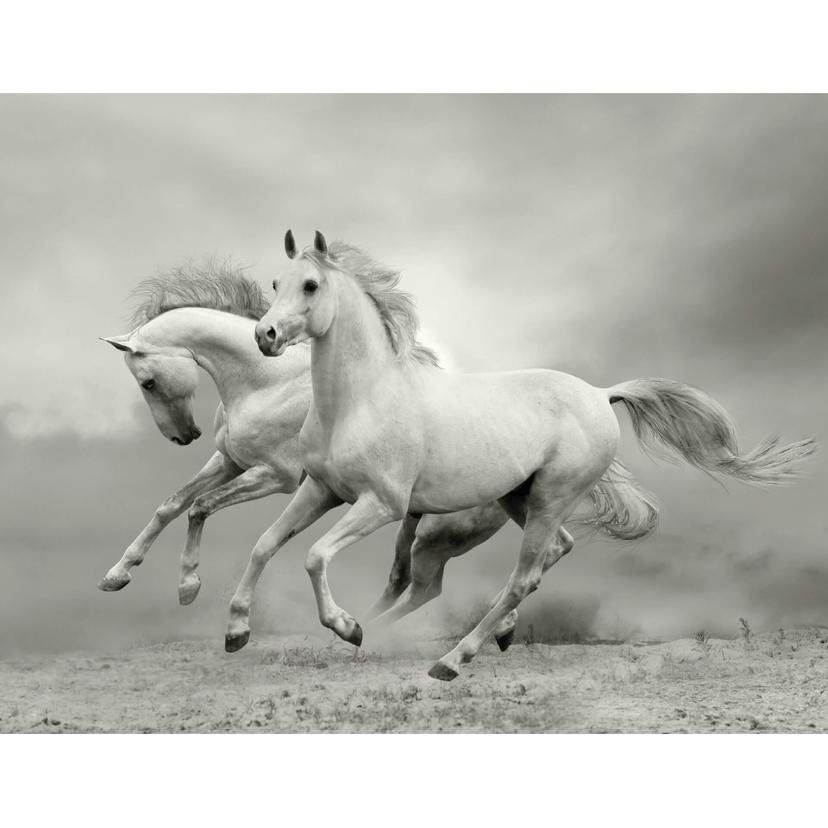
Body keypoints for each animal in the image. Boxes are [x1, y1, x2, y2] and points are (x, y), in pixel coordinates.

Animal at [234, 229, 817, 681]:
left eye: (311, 285)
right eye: (275, 284)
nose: (265, 335)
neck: (361, 399)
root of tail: (601, 394)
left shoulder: (381, 504)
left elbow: (314, 556)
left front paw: (347, 627)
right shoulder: (321, 490)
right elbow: (264, 546)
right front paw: (236, 630)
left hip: (550, 498)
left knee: (521, 577)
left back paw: (452, 660)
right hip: (521, 498)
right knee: (549, 555)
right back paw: (479, 638)